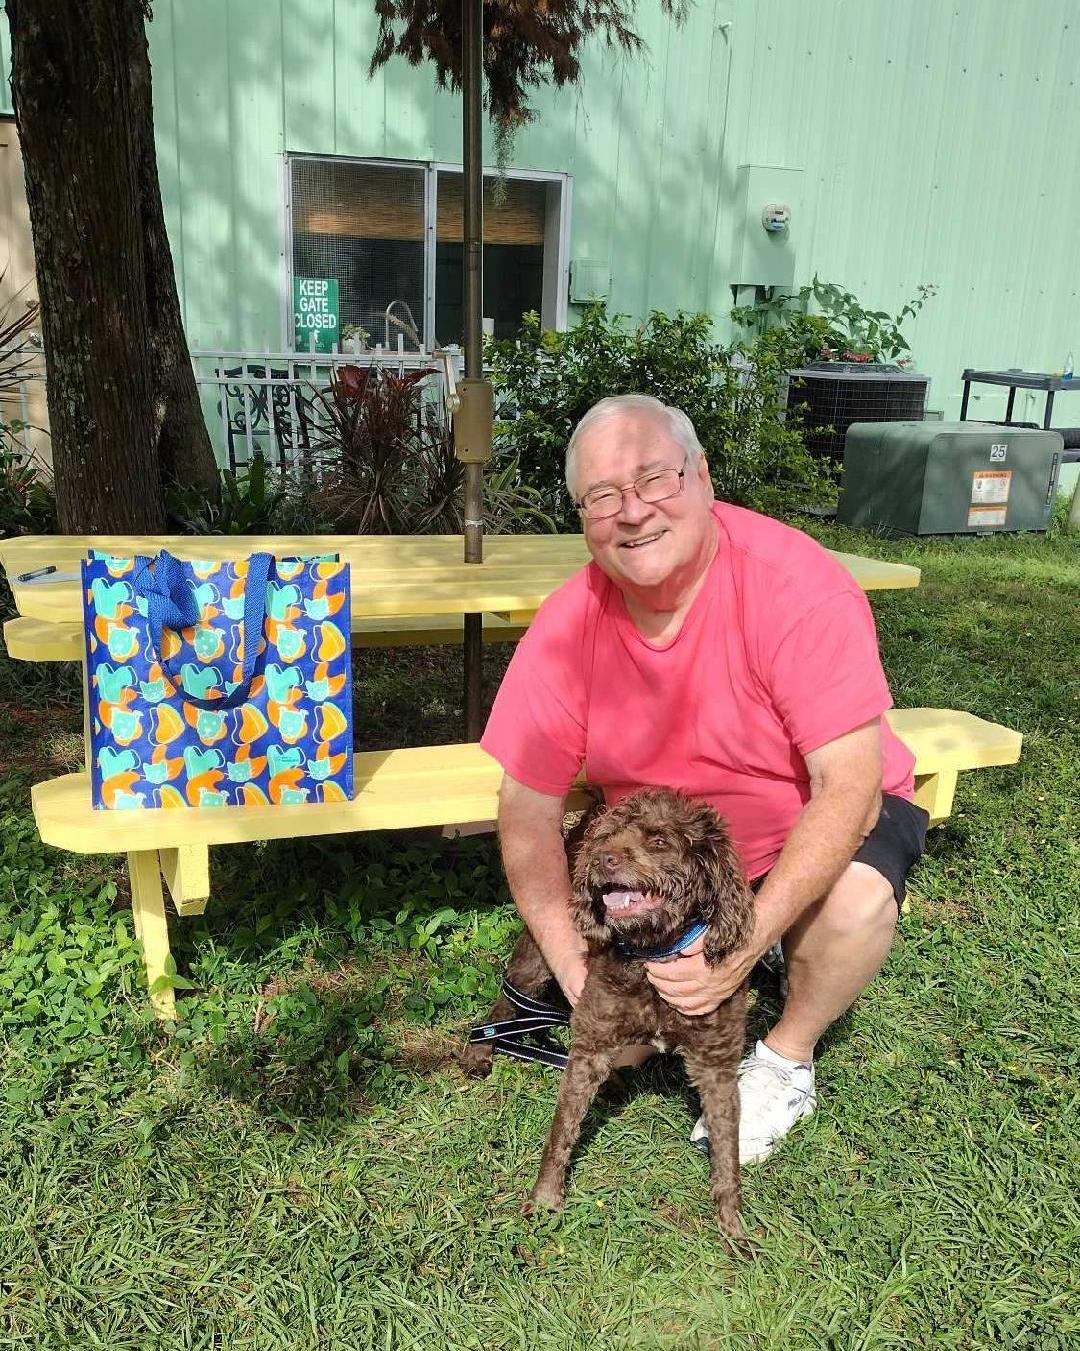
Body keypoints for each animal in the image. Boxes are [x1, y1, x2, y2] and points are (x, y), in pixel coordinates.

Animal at [462, 788, 751, 1237]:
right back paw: (479, 1051)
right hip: (535, 960)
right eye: (609, 837)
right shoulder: (591, 1046)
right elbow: (561, 1130)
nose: (602, 859)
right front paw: (545, 1198)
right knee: (506, 999)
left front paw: (732, 1225)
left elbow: (727, 1148)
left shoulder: (716, 1064)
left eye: (660, 841)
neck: (652, 953)